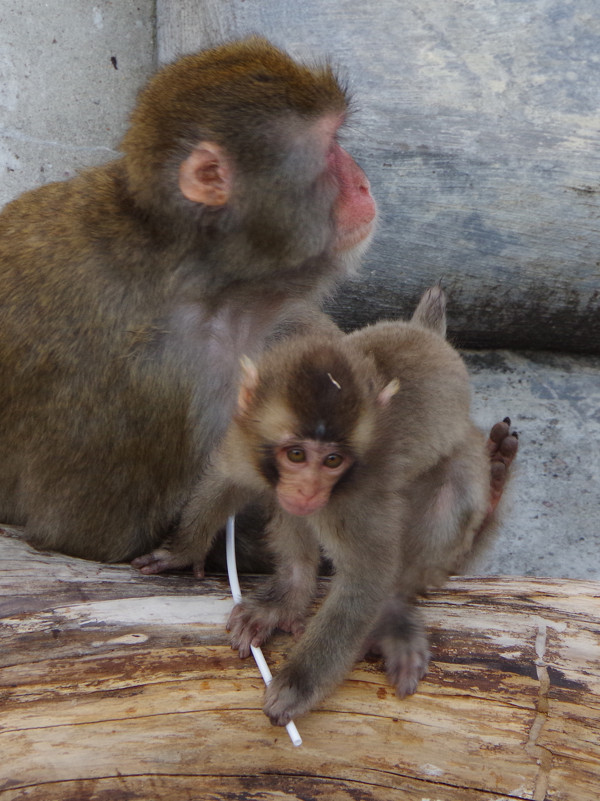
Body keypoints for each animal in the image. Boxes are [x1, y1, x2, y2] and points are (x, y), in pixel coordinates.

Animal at [134, 286, 516, 724]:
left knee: (450, 499)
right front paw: (180, 551)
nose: (307, 490)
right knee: (292, 516)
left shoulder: (355, 501)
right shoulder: (249, 441)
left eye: (333, 460)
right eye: (296, 454)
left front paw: (298, 685)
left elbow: (366, 579)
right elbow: (226, 480)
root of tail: (427, 335)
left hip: (459, 454)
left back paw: (393, 614)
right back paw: (289, 594)